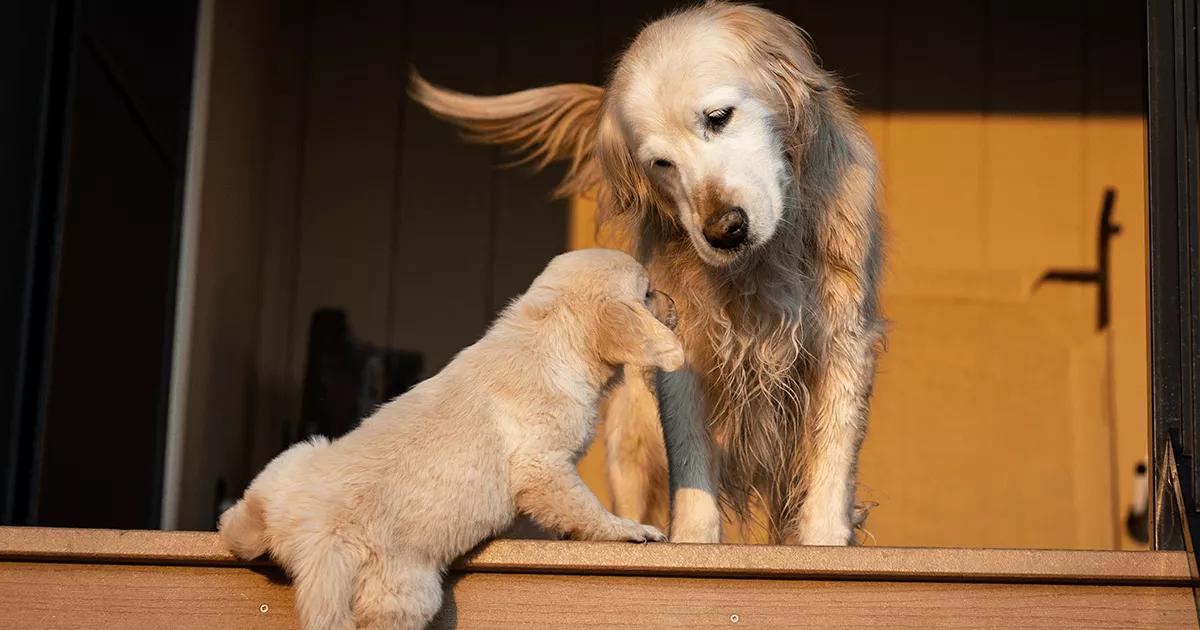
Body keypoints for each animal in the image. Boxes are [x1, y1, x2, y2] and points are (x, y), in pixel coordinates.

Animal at [219, 249, 681, 628]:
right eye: (648, 293)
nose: (675, 302)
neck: (552, 336)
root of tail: (311, 538)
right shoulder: (542, 464)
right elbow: (584, 507)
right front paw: (627, 529)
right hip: (408, 593)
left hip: (296, 457)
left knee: (240, 521)